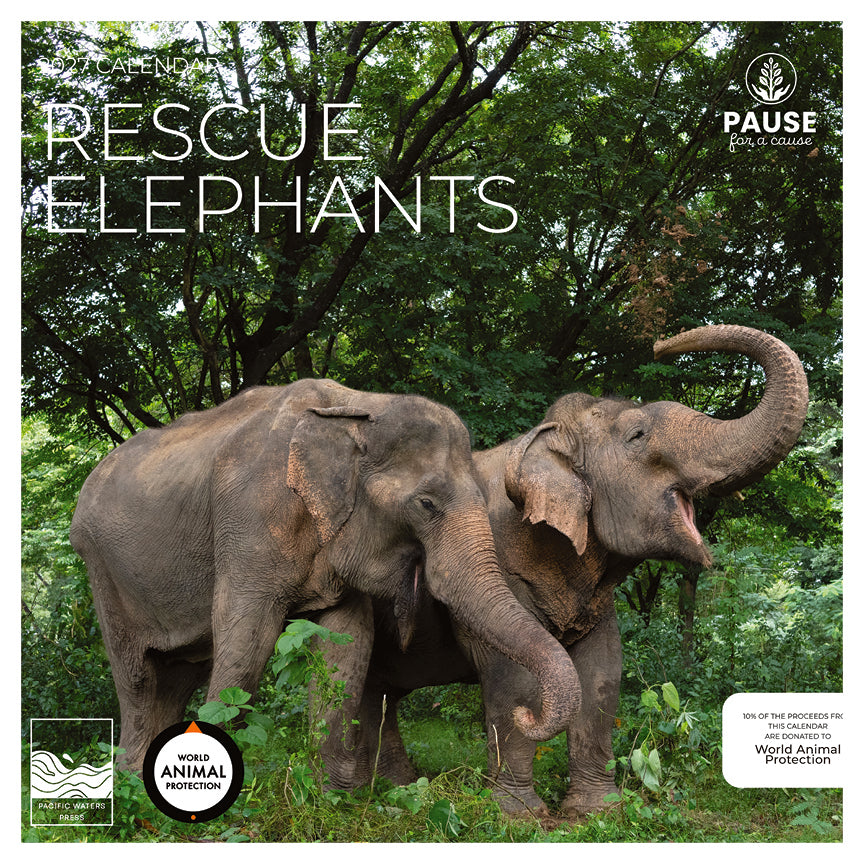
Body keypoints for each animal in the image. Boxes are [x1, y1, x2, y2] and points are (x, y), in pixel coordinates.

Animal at [69, 378, 581, 771]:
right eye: (426, 504)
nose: (526, 711)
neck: (357, 406)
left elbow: (347, 643)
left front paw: (334, 796)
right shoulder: (251, 516)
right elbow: (247, 640)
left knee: (174, 679)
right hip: (103, 572)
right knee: (139, 679)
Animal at [315, 325, 809, 815]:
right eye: (637, 435)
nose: (660, 345)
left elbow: (603, 671)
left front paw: (595, 811)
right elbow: (513, 677)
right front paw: (521, 816)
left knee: (374, 692)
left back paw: (390, 788)